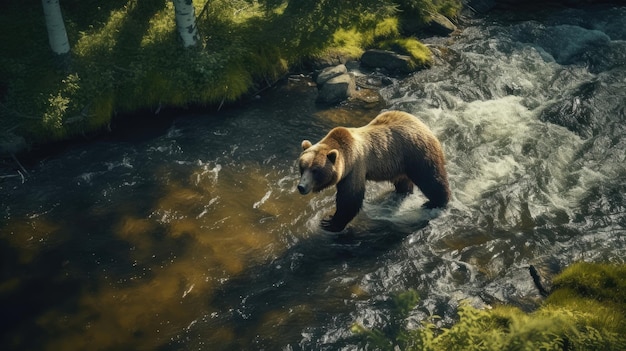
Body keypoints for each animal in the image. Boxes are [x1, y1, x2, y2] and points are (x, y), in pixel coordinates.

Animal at [298, 111, 448, 232]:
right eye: (302, 167)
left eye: (315, 170)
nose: (301, 187)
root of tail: (421, 123)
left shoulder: (355, 168)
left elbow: (350, 198)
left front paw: (329, 222)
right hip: (400, 163)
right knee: (403, 181)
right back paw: (403, 192)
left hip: (417, 152)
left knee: (431, 179)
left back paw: (436, 202)